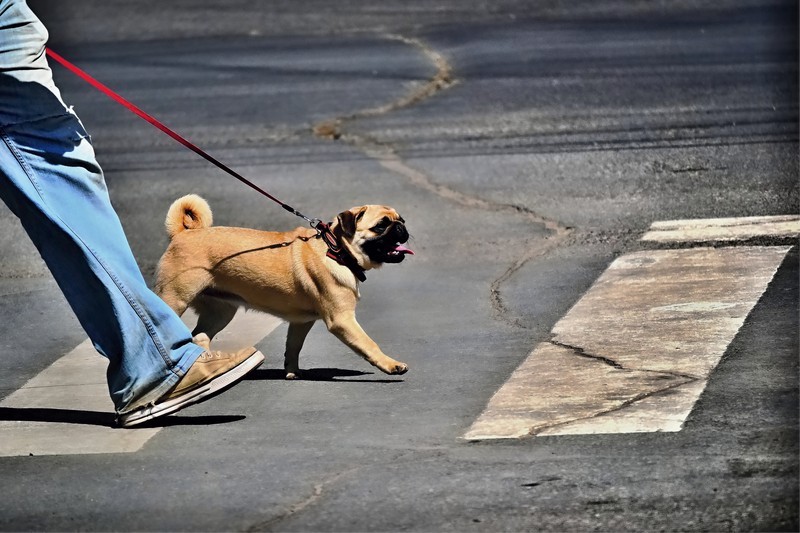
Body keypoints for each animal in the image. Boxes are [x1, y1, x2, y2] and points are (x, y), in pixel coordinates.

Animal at [155, 195, 412, 378]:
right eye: (381, 226)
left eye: (400, 219)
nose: (402, 228)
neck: (337, 250)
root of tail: (182, 234)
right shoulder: (343, 319)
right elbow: (369, 344)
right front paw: (391, 365)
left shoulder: (301, 322)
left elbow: (293, 346)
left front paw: (291, 371)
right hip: (174, 299)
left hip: (221, 312)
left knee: (199, 336)